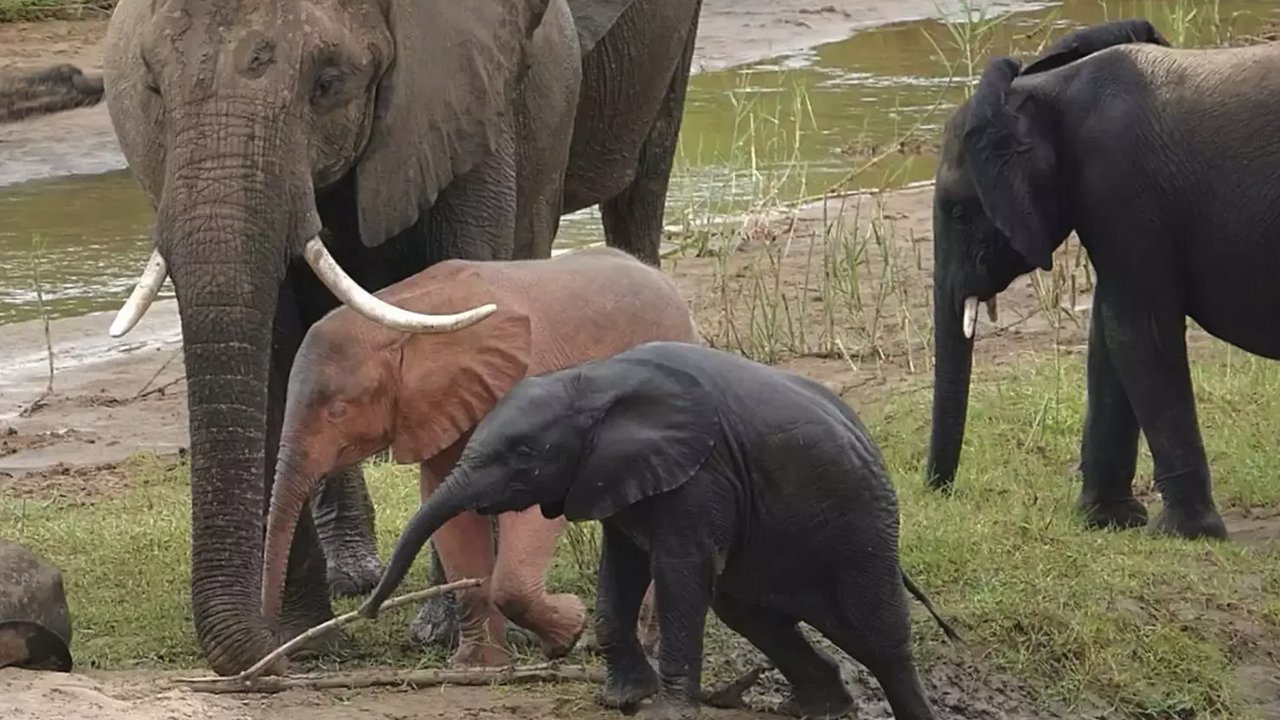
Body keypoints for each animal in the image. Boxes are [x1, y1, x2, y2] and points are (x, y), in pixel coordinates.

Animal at [98, 0, 701, 671]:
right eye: (154, 89)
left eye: (328, 83)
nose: (269, 658)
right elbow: (277, 346)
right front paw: (307, 640)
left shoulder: (471, 103)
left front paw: (448, 634)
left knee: (640, 187)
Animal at [360, 340, 962, 717]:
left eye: (525, 454)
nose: (365, 611)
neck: (593, 379)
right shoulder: (617, 477)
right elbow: (621, 573)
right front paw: (622, 700)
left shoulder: (701, 474)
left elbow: (679, 574)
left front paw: (666, 711)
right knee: (750, 613)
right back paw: (816, 707)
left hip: (861, 525)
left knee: (879, 635)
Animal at [926, 16, 1264, 538]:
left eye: (960, 212)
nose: (939, 493)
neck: (1049, 91)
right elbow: (1109, 337)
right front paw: (1108, 521)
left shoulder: (1122, 187)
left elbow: (1136, 332)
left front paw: (1184, 533)